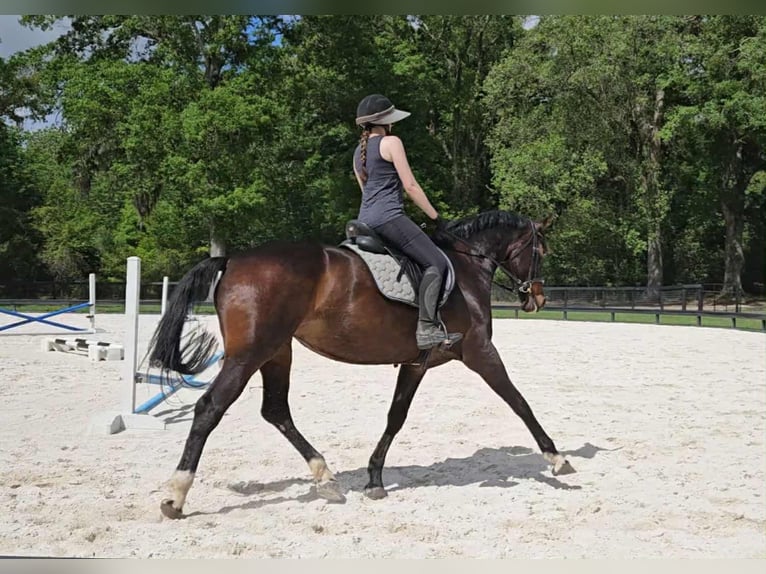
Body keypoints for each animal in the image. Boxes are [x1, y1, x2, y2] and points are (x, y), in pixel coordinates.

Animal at [147, 210, 575, 520]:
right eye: (541, 252)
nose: (538, 299)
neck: (466, 267)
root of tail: (232, 260)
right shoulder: (480, 351)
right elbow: (518, 401)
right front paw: (556, 458)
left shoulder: (417, 363)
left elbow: (396, 417)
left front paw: (374, 478)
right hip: (249, 354)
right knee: (210, 408)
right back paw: (175, 496)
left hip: (277, 351)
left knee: (276, 410)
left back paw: (325, 477)